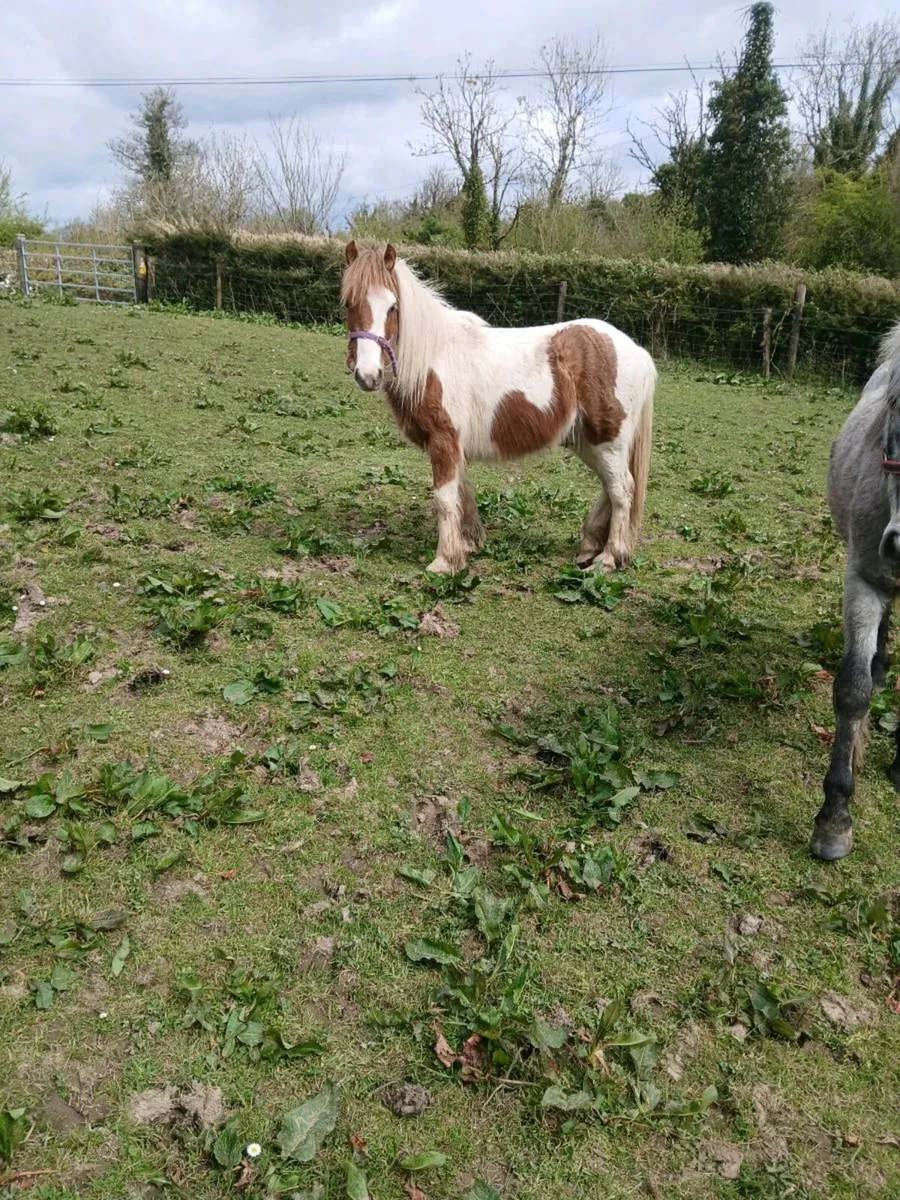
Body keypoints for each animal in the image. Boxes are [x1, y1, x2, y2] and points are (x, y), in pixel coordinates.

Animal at [341, 241, 656, 575]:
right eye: (348, 303)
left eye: (392, 307)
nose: (368, 375)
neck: (433, 357)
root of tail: (636, 350)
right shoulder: (454, 446)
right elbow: (463, 494)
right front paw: (468, 544)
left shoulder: (443, 441)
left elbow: (444, 499)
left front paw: (445, 562)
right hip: (588, 442)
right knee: (611, 488)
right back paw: (589, 547)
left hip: (608, 441)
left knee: (622, 490)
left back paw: (609, 557)